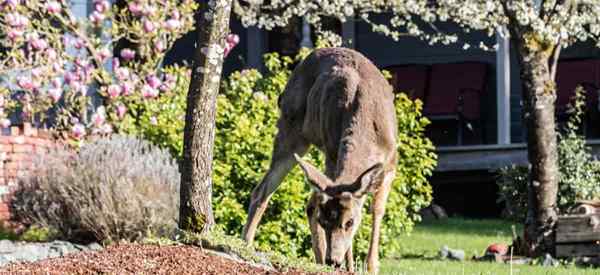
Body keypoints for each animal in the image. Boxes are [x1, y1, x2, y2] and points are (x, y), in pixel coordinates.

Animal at [241, 47, 396, 274]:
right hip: (293, 130)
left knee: (303, 199)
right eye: (324, 222)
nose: (334, 261)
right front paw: (350, 265)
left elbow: (377, 210)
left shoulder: (391, 164)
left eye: (350, 222)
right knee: (274, 192)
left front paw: (369, 266)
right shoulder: (332, 152)